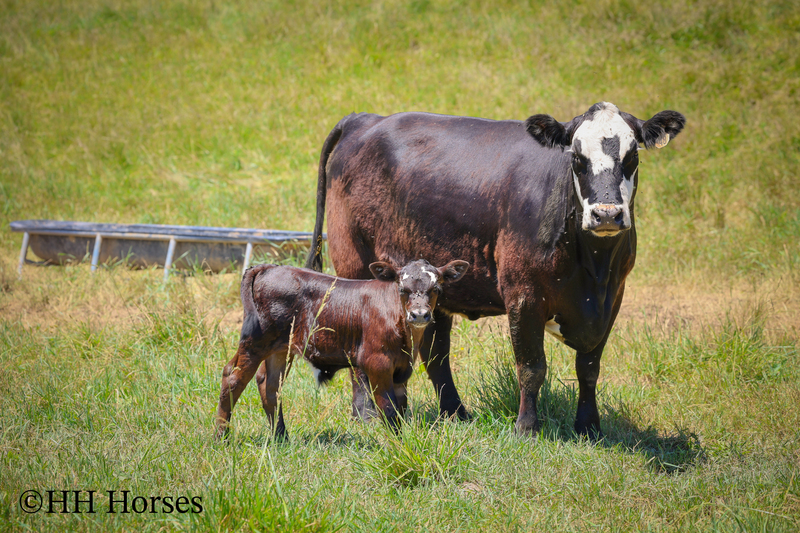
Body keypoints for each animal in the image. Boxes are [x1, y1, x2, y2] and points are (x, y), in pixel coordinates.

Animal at [214, 258, 470, 440]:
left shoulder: (402, 371)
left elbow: (401, 409)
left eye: (436, 288)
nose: (419, 315)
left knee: (269, 386)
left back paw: (280, 437)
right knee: (233, 379)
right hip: (255, 342)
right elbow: (388, 411)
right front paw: (397, 446)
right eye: (402, 288)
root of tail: (269, 267)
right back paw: (221, 437)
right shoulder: (377, 365)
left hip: (280, 349)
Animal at [305, 102, 685, 439]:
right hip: (354, 263)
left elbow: (589, 368)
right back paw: (366, 413)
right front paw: (527, 429)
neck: (594, 268)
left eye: (632, 156)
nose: (606, 214)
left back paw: (449, 414)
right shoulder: (524, 295)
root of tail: (365, 118)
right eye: (577, 158)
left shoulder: (613, 297)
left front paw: (589, 427)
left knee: (435, 355)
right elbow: (532, 367)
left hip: (432, 292)